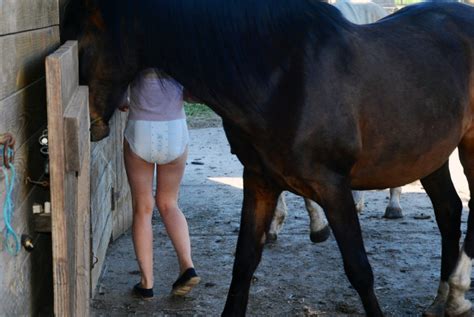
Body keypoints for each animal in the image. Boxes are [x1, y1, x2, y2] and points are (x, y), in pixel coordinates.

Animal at [62, 1, 474, 314]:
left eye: (79, 41)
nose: (90, 125)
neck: (281, 75)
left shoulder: (333, 186)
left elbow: (360, 270)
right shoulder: (260, 181)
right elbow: (243, 264)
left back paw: (456, 294)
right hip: (428, 155)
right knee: (449, 210)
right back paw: (440, 299)